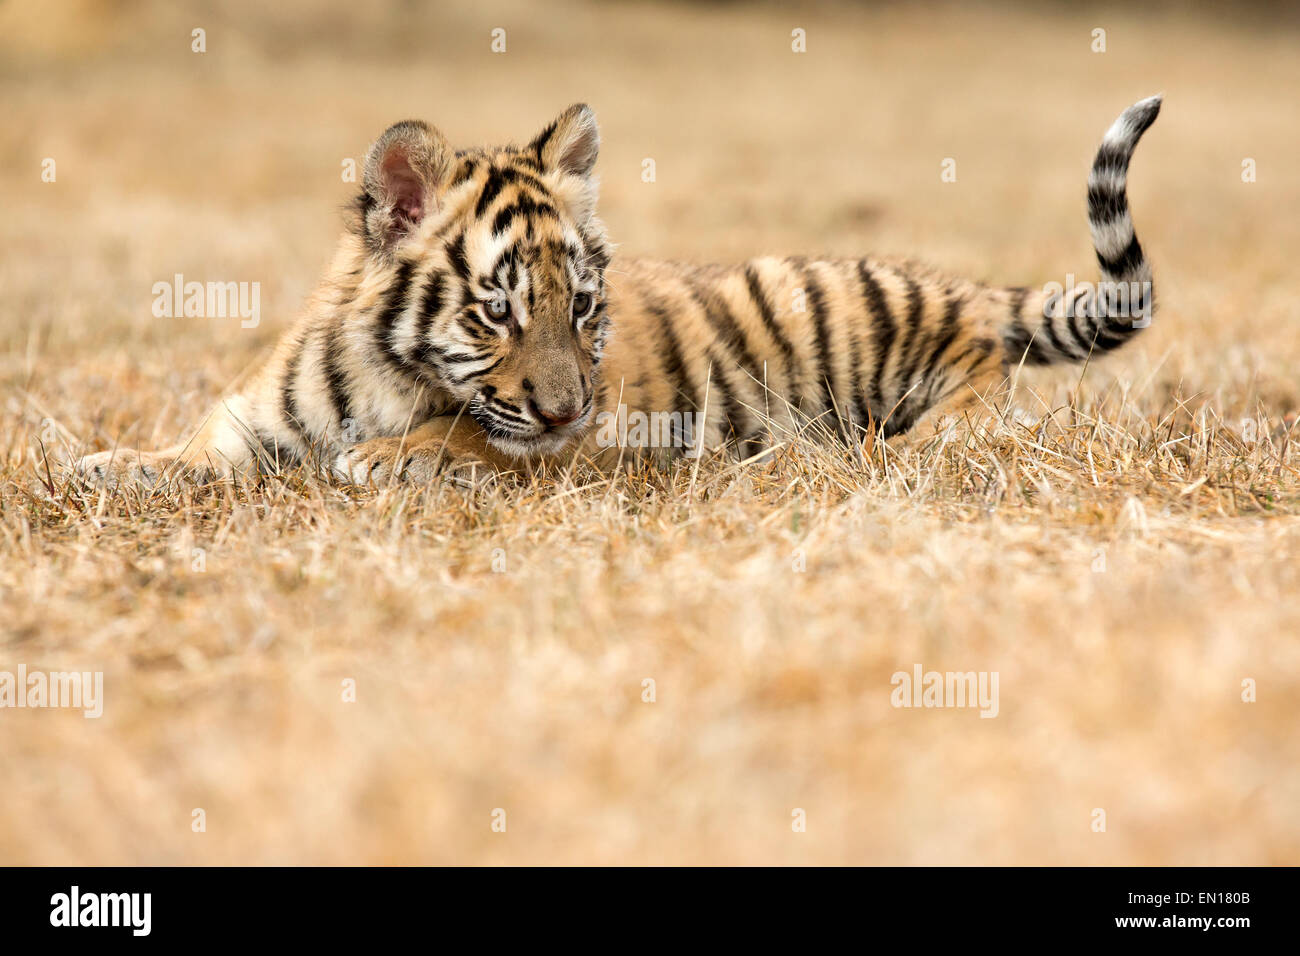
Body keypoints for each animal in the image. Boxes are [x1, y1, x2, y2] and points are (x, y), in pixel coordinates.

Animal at [72, 96, 1162, 486]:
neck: (390, 373)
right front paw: (108, 464)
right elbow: (195, 447)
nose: (565, 406)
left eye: (583, 308)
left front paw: (388, 458)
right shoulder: (253, 419)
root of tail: (962, 288)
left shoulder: (584, 437)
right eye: (497, 311)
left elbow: (469, 434)